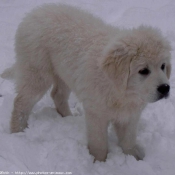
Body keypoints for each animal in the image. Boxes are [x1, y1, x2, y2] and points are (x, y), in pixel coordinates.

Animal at [1, 3, 171, 161]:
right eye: (143, 70)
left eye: (163, 66)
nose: (165, 88)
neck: (119, 89)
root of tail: (33, 13)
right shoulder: (96, 112)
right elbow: (99, 143)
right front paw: (99, 162)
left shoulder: (129, 115)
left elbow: (128, 140)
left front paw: (134, 158)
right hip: (37, 71)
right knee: (22, 101)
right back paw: (18, 131)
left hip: (64, 72)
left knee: (57, 95)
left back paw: (68, 117)